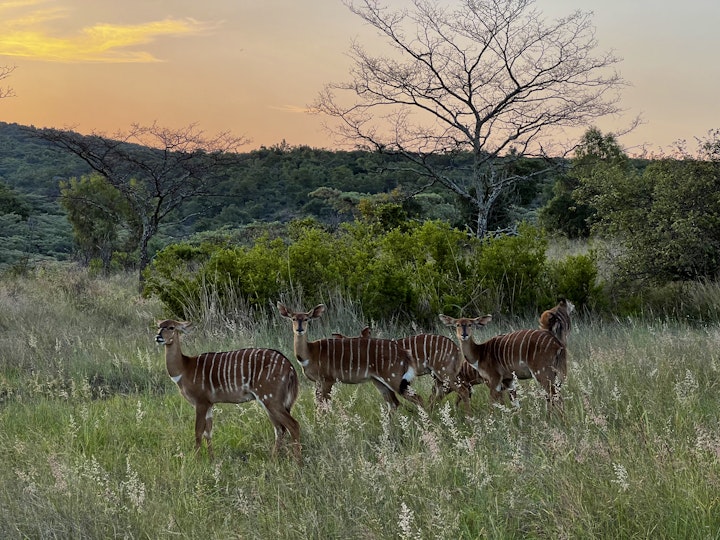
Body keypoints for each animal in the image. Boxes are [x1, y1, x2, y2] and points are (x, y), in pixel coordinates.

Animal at [155, 318, 300, 462]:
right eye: (158, 326)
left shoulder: (200, 402)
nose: (158, 337)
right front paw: (212, 460)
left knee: (293, 425)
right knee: (280, 428)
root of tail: (290, 367)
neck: (184, 369)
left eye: (171, 327)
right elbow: (208, 432)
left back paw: (297, 462)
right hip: (269, 401)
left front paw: (196, 461)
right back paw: (273, 460)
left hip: (270, 398)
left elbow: (198, 431)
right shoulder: (209, 404)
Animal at [274, 304, 422, 410]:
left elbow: (324, 406)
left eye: (306, 319)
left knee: (417, 398)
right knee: (394, 403)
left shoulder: (328, 379)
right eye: (293, 318)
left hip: (394, 378)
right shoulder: (317, 381)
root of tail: (405, 353)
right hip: (379, 380)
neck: (309, 354)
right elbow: (318, 405)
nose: (299, 329)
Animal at [438, 314, 568, 408]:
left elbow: (492, 403)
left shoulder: (494, 378)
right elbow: (515, 404)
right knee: (553, 396)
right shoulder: (508, 380)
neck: (480, 353)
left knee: (556, 397)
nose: (464, 335)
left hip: (542, 372)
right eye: (457, 325)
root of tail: (557, 343)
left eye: (470, 324)